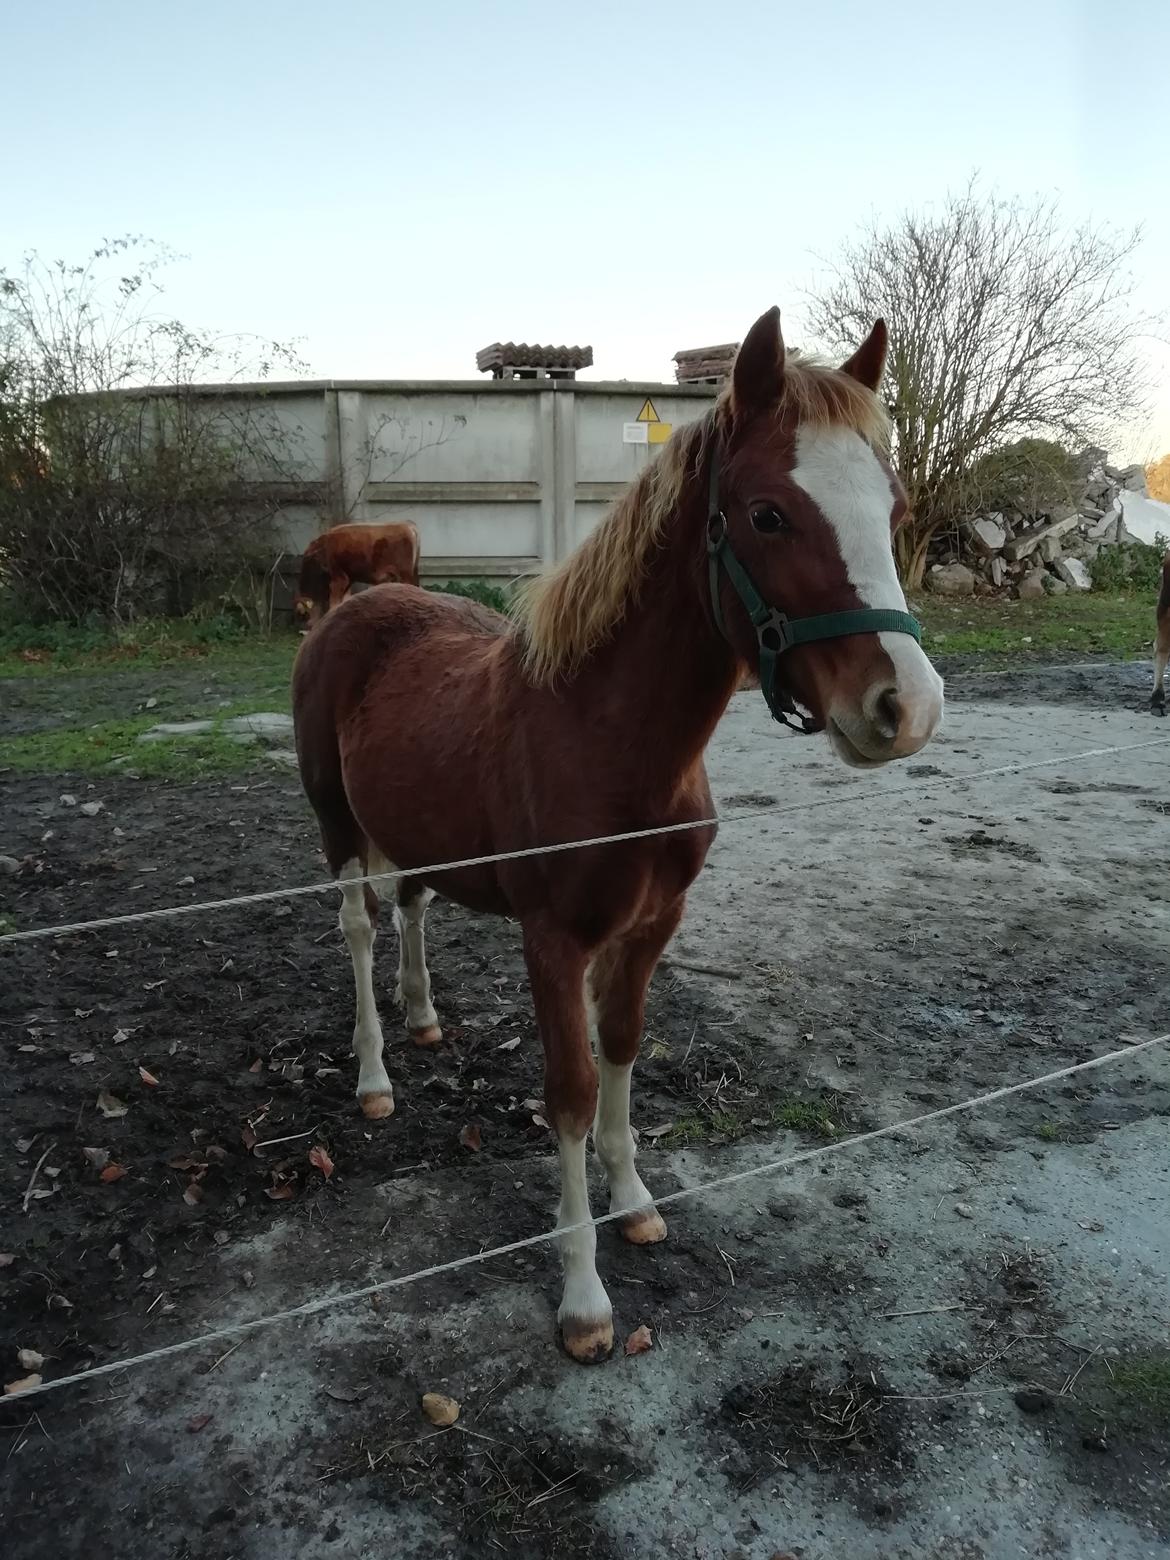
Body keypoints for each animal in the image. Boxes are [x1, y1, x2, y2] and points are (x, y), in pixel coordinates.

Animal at [293, 307, 942, 1366]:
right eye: (768, 515)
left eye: (891, 509)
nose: (908, 709)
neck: (606, 739)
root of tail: (354, 604)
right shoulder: (554, 942)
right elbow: (568, 1090)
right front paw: (584, 1298)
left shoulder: (649, 927)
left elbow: (624, 1052)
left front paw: (634, 1200)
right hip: (336, 822)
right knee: (355, 927)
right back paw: (377, 1074)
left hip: (417, 828)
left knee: (413, 905)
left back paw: (424, 1016)